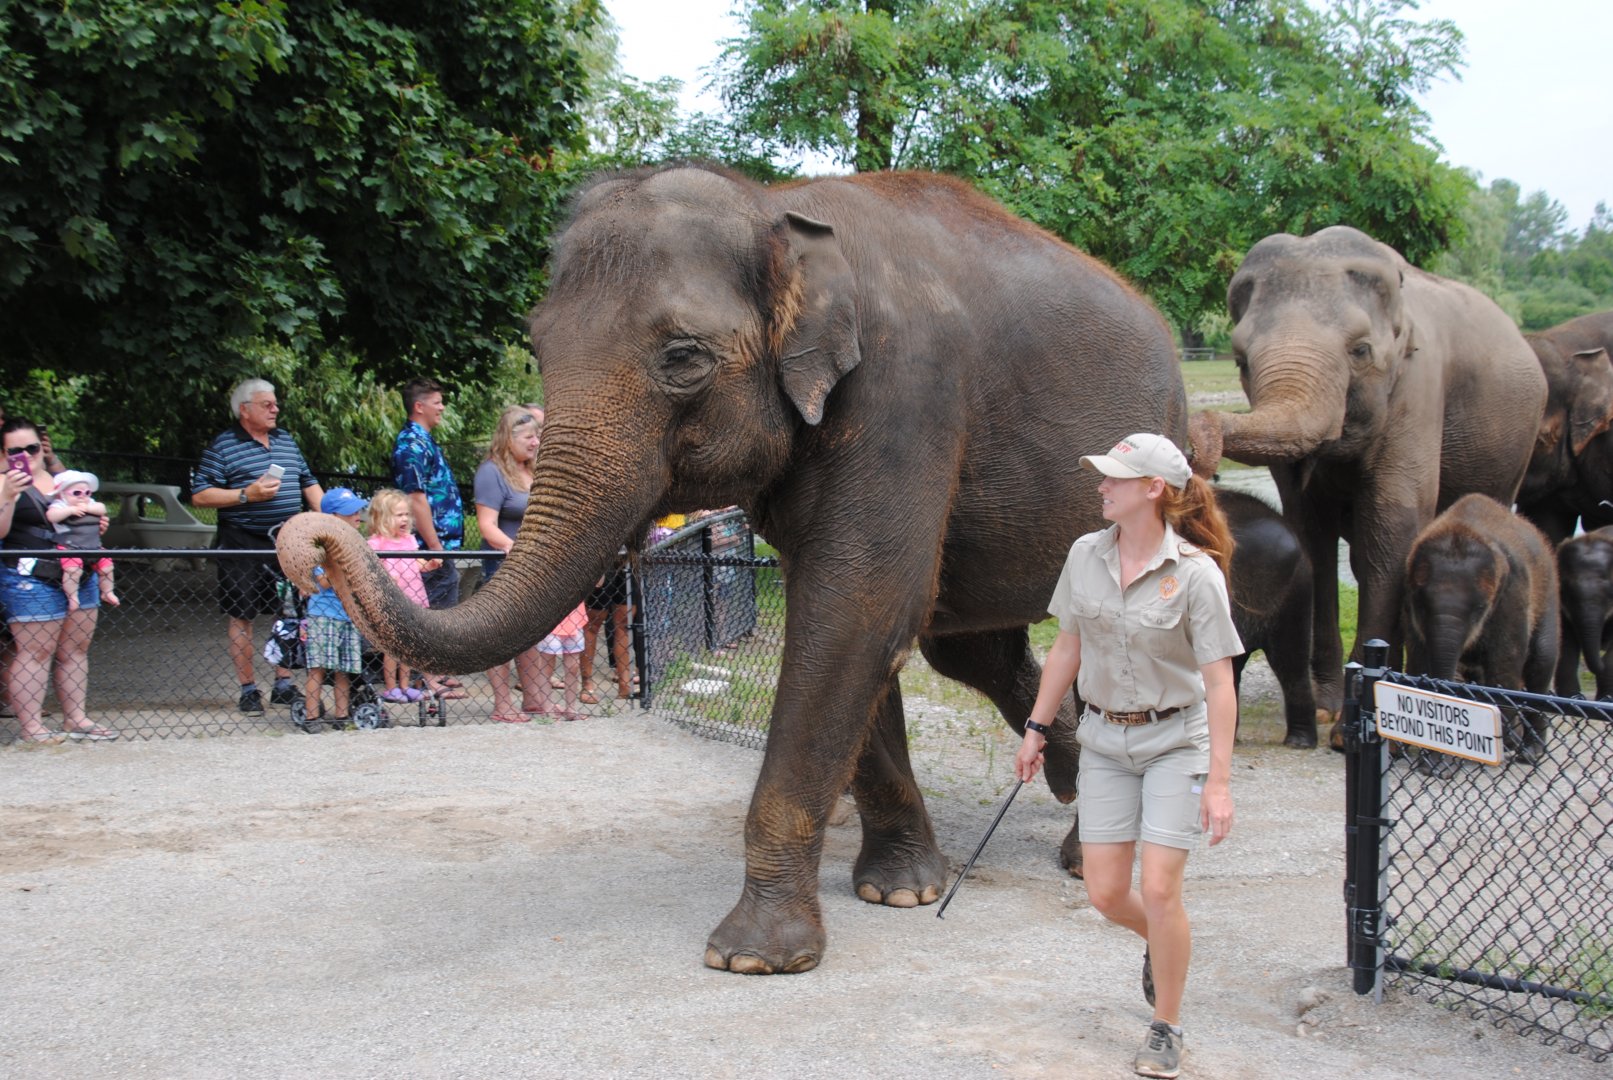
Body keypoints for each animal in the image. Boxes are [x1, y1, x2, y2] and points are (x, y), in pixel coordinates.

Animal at [276, 165, 1187, 975]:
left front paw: (752, 956)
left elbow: (857, 611)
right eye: (536, 345)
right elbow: (855, 624)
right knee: (969, 647)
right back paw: (1066, 777)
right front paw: (898, 891)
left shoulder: (907, 394)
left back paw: (1085, 851)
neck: (779, 207)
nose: (304, 539)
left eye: (683, 358)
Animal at [1402, 494, 1559, 761]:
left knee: (1542, 661)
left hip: (1547, 591)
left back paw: (1529, 753)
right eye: (1421, 604)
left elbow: (1504, 669)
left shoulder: (1512, 596)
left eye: (1480, 608)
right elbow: (1419, 664)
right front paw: (1433, 761)